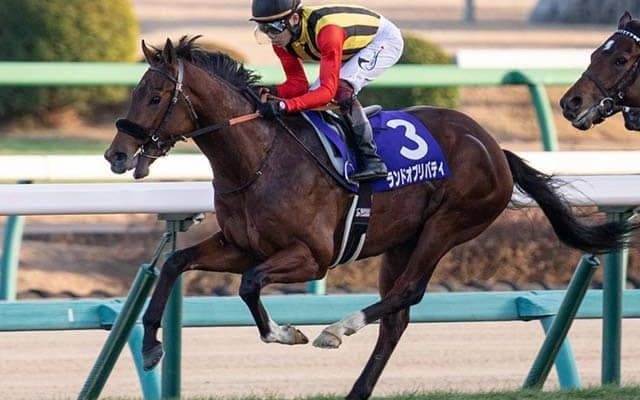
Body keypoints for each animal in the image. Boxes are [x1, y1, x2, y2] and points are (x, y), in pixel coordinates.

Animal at [104, 36, 638, 400]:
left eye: (155, 97)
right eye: (135, 93)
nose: (116, 154)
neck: (258, 158)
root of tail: (495, 148)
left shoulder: (311, 257)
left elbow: (250, 284)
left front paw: (287, 332)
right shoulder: (240, 245)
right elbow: (176, 264)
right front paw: (150, 345)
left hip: (448, 225)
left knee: (408, 293)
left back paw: (336, 329)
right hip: (400, 241)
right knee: (397, 318)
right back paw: (357, 387)